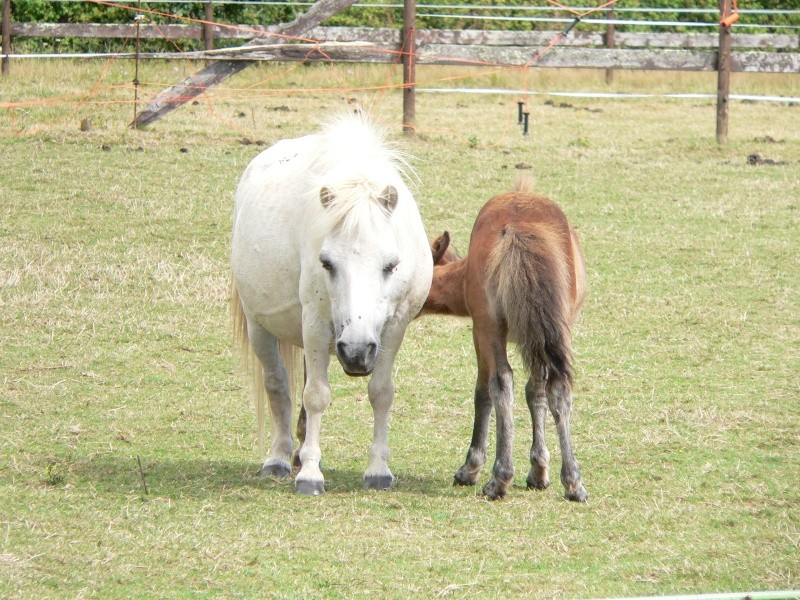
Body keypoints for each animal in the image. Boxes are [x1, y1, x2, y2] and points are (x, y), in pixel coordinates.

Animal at [231, 113, 432, 496]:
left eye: (390, 265)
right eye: (327, 263)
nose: (356, 351)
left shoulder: (394, 327)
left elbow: (381, 393)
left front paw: (378, 471)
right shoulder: (314, 323)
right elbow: (315, 396)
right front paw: (310, 475)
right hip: (260, 327)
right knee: (278, 385)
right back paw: (280, 459)